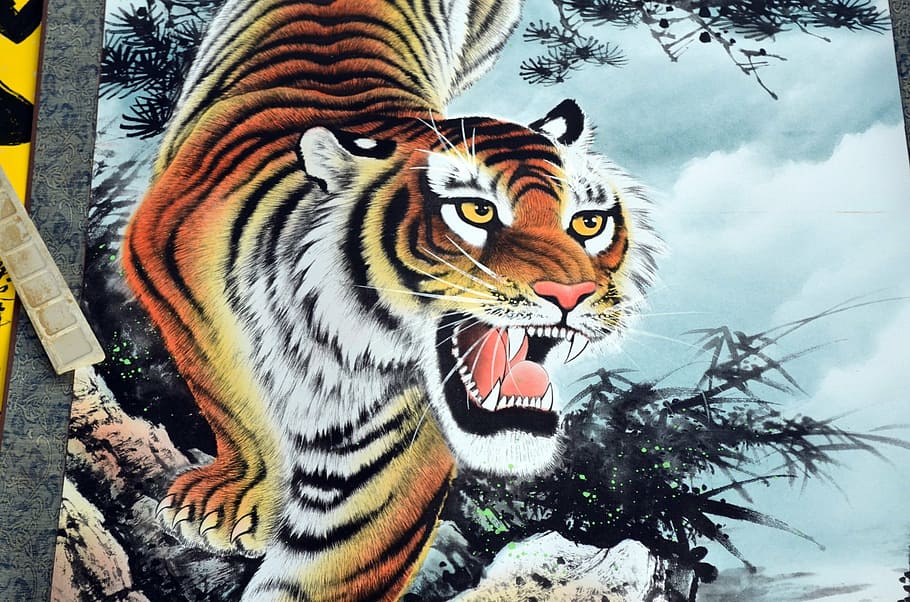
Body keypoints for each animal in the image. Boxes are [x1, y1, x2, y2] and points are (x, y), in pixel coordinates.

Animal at [121, 0, 659, 600]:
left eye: (588, 222)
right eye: (475, 211)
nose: (573, 293)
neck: (332, 342)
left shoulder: (397, 448)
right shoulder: (167, 274)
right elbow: (236, 406)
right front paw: (232, 502)